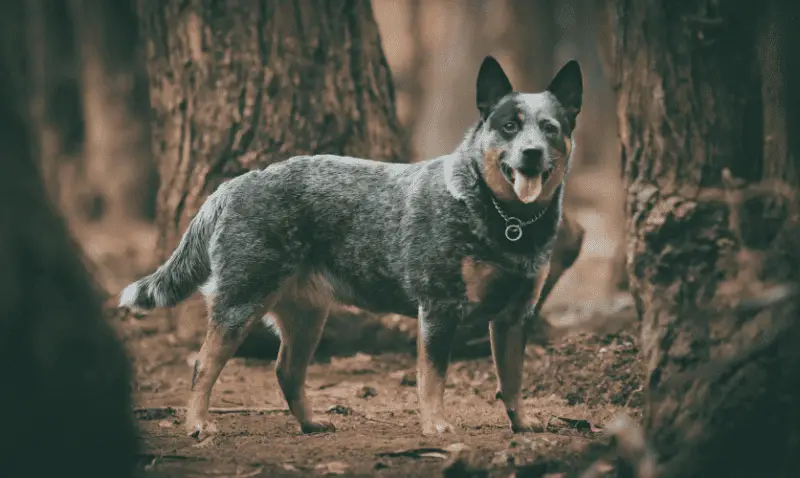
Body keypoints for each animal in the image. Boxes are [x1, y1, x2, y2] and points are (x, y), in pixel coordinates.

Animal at [119, 56, 580, 436]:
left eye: (550, 128)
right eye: (509, 125)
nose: (532, 153)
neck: (507, 222)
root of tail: (235, 184)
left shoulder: (514, 317)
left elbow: (513, 379)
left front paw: (522, 425)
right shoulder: (439, 307)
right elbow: (433, 377)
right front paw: (436, 426)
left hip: (307, 315)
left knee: (287, 371)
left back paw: (311, 424)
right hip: (240, 301)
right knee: (204, 365)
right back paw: (198, 425)